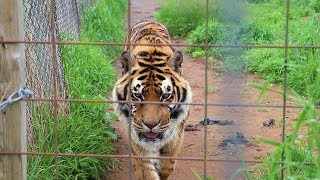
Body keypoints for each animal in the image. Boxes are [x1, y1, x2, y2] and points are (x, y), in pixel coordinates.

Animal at [112, 19, 192, 179]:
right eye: (137, 96)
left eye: (165, 96)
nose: (150, 125)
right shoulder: (137, 137)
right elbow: (146, 170)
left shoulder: (176, 135)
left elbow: (168, 165)